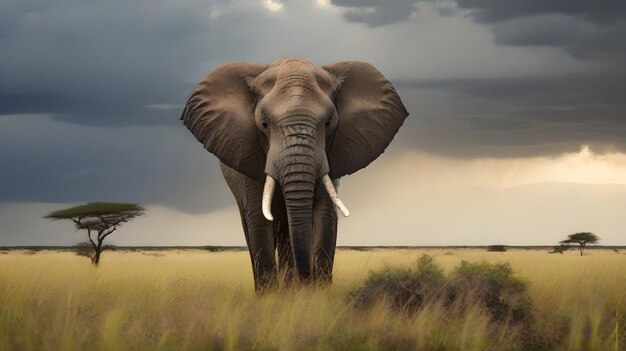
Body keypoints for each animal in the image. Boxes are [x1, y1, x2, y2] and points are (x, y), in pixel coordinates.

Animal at [178, 57, 408, 292]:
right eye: (264, 124)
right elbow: (259, 218)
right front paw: (270, 296)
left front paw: (318, 293)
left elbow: (325, 215)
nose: (305, 278)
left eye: (328, 123)